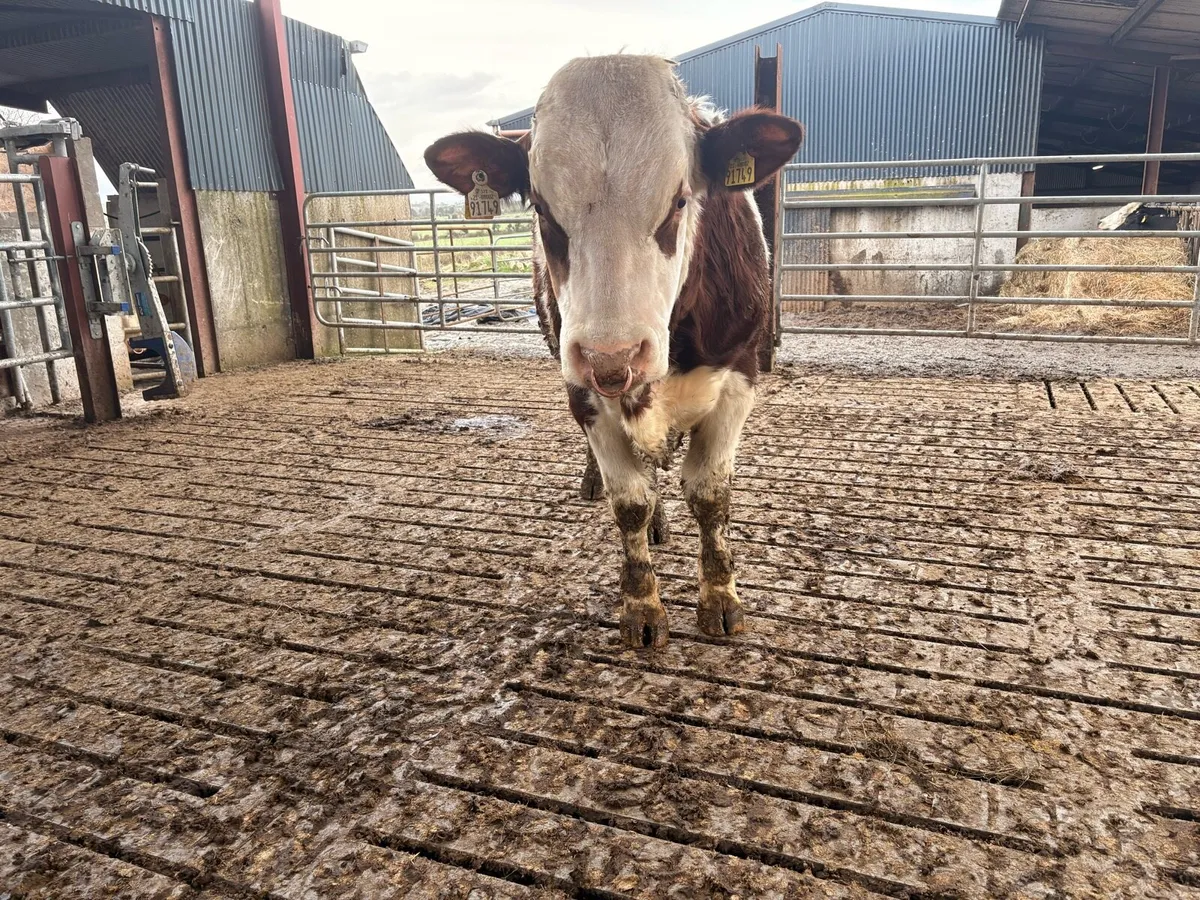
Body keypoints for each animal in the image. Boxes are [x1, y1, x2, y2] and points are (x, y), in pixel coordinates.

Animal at [425, 55, 804, 649]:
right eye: (540, 208)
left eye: (679, 200)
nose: (614, 355)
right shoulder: (583, 387)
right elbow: (628, 499)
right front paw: (642, 605)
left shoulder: (740, 376)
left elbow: (710, 494)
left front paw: (720, 597)